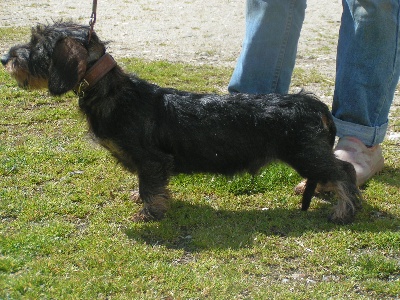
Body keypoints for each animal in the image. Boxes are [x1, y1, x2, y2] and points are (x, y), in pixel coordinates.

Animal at [0, 21, 362, 223]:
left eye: (38, 46)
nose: (6, 58)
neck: (113, 92)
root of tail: (310, 101)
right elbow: (146, 186)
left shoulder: (152, 161)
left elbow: (150, 187)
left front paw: (148, 213)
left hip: (304, 154)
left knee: (345, 171)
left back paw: (343, 211)